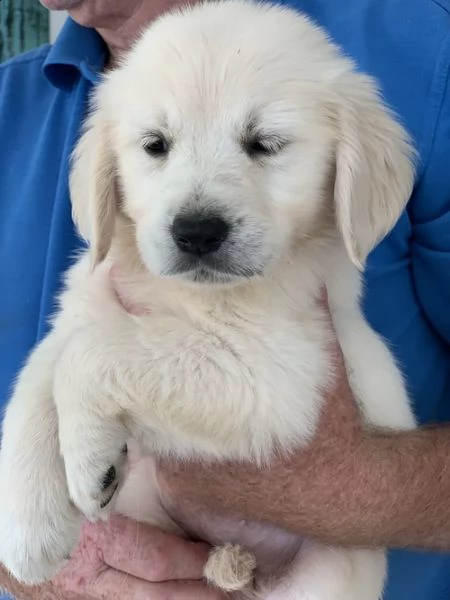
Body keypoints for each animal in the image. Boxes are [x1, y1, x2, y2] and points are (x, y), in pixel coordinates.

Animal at [0, 2, 416, 596]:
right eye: (155, 144)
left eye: (265, 143)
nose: (195, 232)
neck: (187, 295)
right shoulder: (89, 303)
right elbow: (37, 380)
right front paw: (29, 528)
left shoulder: (276, 373)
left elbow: (90, 356)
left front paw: (86, 461)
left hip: (326, 576)